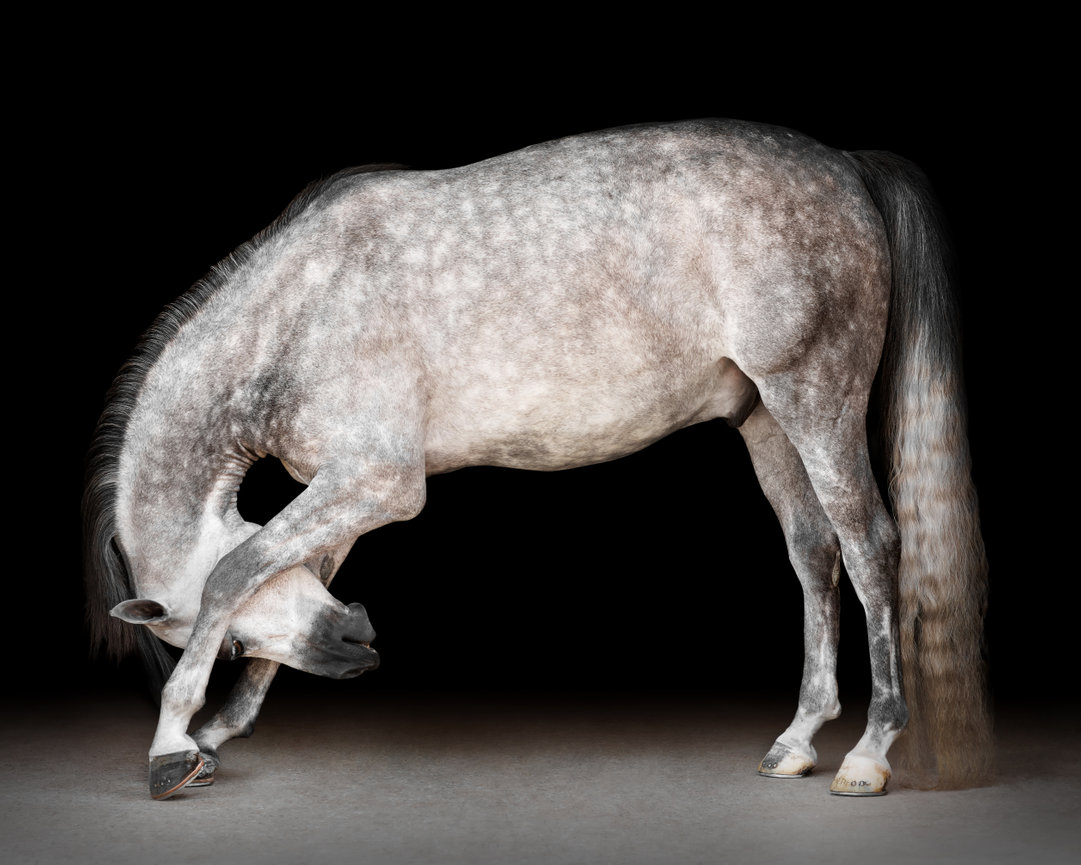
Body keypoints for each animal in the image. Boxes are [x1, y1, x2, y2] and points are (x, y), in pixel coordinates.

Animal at [83, 119, 992, 800]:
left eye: (229, 646)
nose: (358, 637)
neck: (299, 309)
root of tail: (845, 164)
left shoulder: (377, 481)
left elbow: (232, 571)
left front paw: (176, 741)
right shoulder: (346, 489)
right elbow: (284, 565)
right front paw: (219, 730)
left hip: (816, 399)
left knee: (870, 545)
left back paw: (868, 751)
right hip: (767, 418)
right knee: (813, 554)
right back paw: (798, 738)